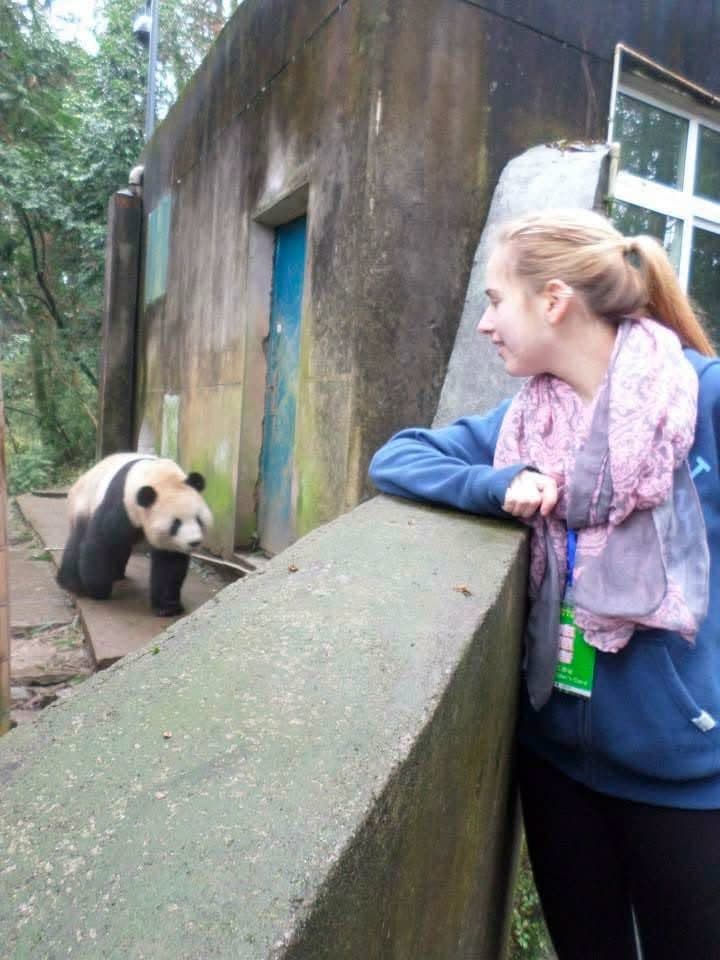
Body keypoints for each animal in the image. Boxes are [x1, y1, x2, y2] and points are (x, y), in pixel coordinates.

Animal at [57, 453, 213, 616]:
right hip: (84, 504)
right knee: (78, 540)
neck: (157, 476)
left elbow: (170, 563)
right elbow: (102, 542)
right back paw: (72, 583)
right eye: (175, 523)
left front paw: (167, 607)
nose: (194, 542)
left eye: (198, 519)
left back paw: (116, 574)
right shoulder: (122, 503)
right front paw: (97, 589)